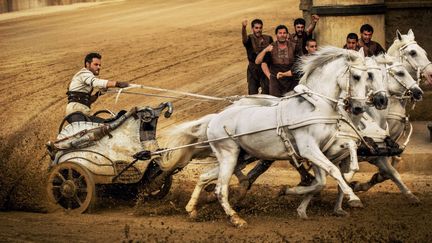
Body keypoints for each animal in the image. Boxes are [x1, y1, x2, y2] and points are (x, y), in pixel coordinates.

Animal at [160, 47, 370, 226]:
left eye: (368, 77)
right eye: (356, 76)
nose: (359, 107)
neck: (316, 105)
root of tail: (214, 119)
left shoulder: (321, 150)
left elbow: (321, 181)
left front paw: (289, 193)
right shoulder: (309, 149)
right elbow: (333, 171)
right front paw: (353, 197)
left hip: (239, 158)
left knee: (205, 177)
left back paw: (191, 209)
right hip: (229, 155)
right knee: (220, 188)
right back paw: (236, 219)